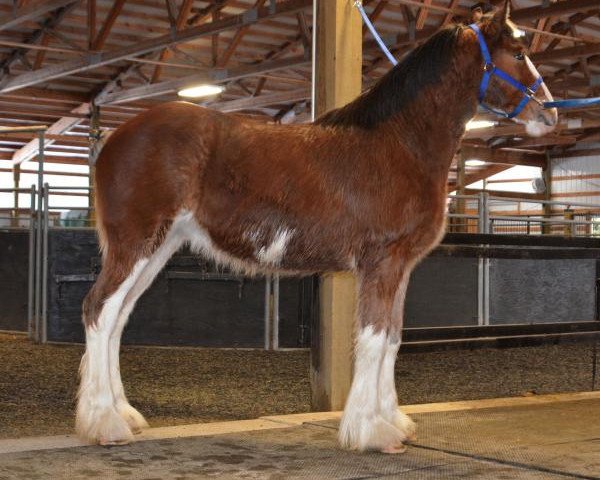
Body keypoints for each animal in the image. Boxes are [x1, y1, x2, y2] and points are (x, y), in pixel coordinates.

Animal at [76, 1, 556, 454]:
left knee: (117, 318)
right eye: (518, 53)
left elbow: (393, 339)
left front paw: (393, 421)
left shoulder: (401, 266)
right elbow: (374, 339)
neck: (399, 143)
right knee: (99, 310)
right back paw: (106, 424)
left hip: (158, 248)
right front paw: (372, 431)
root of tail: (113, 139)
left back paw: (123, 414)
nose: (550, 116)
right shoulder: (381, 261)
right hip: (136, 242)